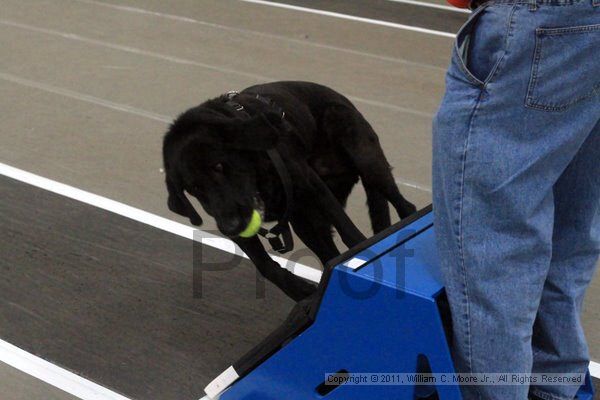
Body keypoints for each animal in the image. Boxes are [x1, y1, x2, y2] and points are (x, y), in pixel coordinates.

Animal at [164, 80, 418, 300]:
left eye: (219, 166)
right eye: (193, 187)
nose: (231, 226)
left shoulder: (312, 186)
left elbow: (351, 234)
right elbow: (265, 265)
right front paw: (300, 291)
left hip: (366, 160)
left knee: (406, 206)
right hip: (306, 222)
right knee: (329, 254)